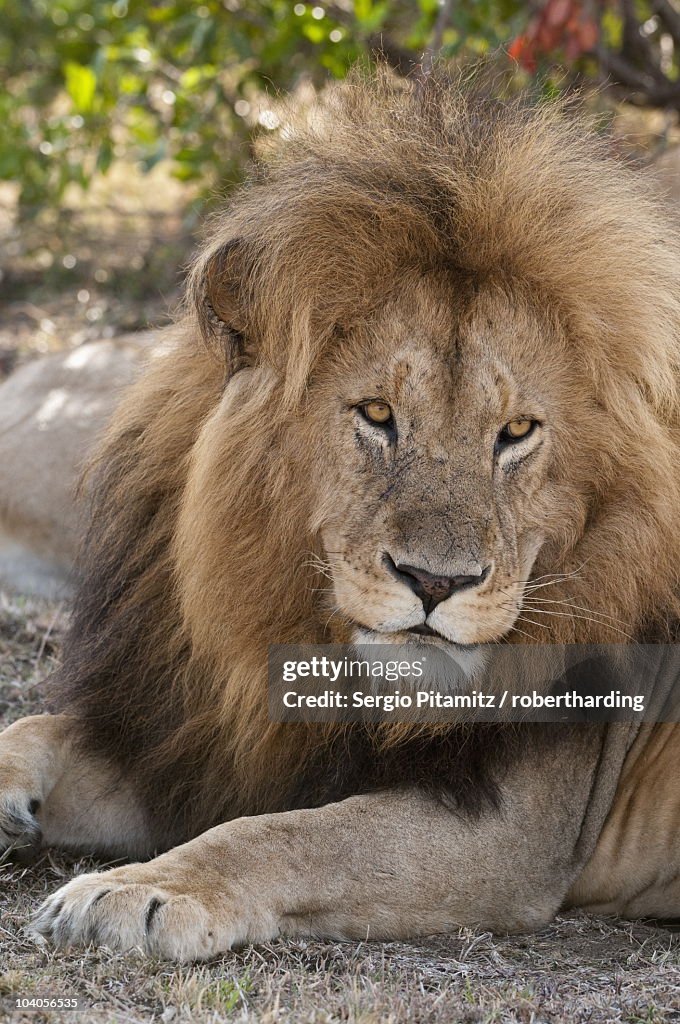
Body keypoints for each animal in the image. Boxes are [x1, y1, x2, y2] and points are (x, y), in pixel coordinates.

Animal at [2, 74, 680, 958]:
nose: (435, 581)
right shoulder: (212, 745)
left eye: (516, 432)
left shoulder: (520, 832)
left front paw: (142, 891)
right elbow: (37, 726)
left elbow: (284, 837)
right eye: (378, 414)